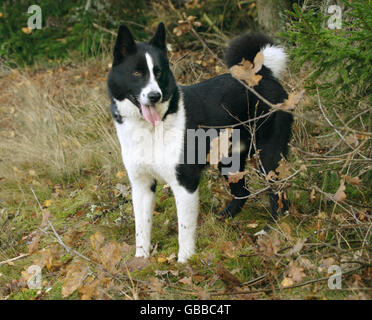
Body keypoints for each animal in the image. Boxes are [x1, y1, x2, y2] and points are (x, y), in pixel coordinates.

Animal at [106, 21, 292, 262]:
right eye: (137, 72)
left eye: (158, 72)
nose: (155, 96)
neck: (152, 127)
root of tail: (265, 74)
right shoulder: (141, 185)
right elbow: (142, 228)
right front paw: (141, 261)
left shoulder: (185, 183)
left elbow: (184, 229)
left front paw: (185, 261)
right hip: (228, 160)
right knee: (242, 192)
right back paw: (225, 217)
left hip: (268, 157)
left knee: (279, 196)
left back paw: (273, 231)